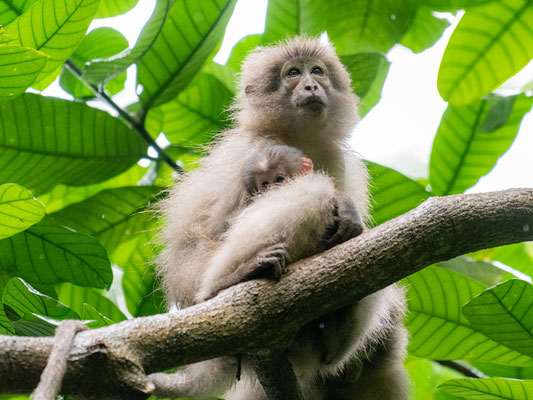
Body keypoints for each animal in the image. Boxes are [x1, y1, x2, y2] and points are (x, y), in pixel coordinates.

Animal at [151, 37, 408, 400]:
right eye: (293, 73)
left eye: (317, 71)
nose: (312, 85)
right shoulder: (251, 149)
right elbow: (220, 224)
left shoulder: (334, 157)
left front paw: (348, 212)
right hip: (196, 283)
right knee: (310, 194)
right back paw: (230, 280)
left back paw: (335, 337)